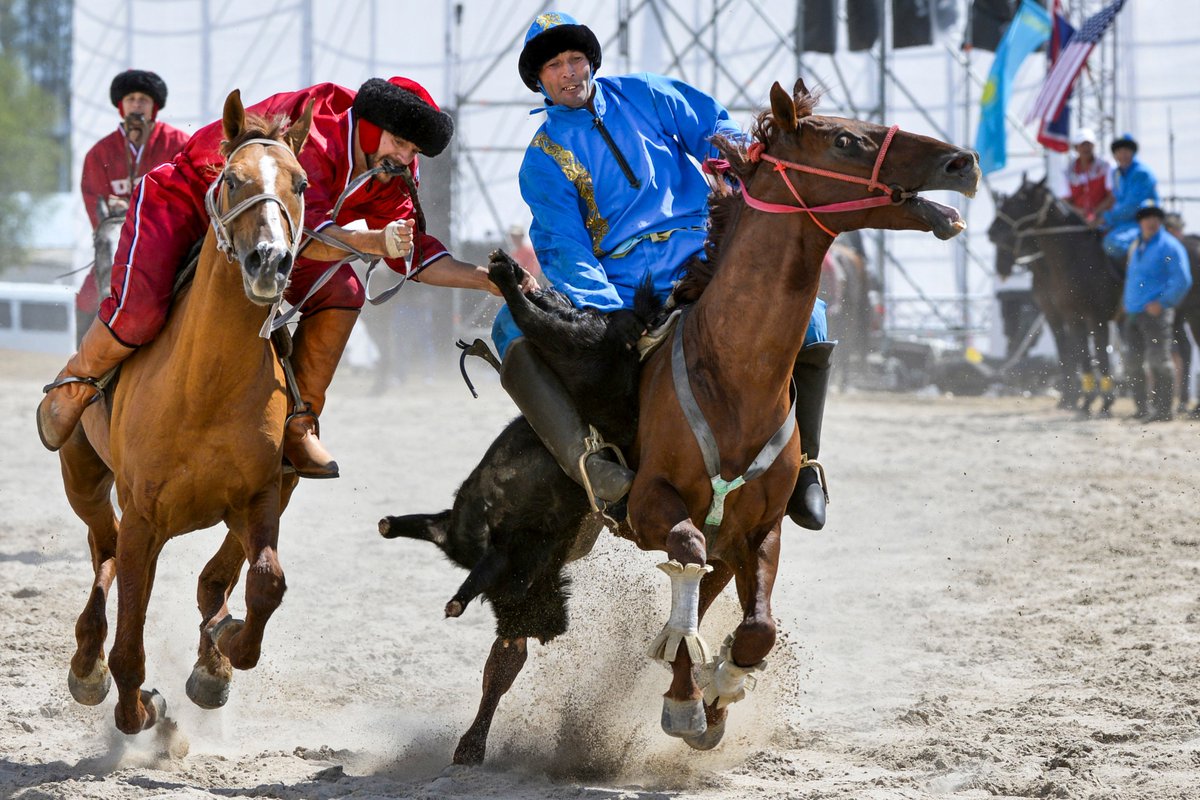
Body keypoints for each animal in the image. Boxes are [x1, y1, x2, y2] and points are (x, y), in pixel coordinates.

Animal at [56, 89, 312, 738]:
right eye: (231, 179)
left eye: (299, 183)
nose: (269, 261)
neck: (206, 388)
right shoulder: (143, 515)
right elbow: (129, 647)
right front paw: (136, 707)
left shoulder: (262, 497)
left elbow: (266, 585)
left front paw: (221, 653)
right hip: (85, 480)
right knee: (104, 550)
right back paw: (88, 663)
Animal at [984, 178, 1123, 417]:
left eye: (1018, 200)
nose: (992, 232)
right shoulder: (1063, 316)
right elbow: (1074, 354)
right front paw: (1080, 399)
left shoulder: (1096, 317)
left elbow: (1098, 355)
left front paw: (1102, 401)